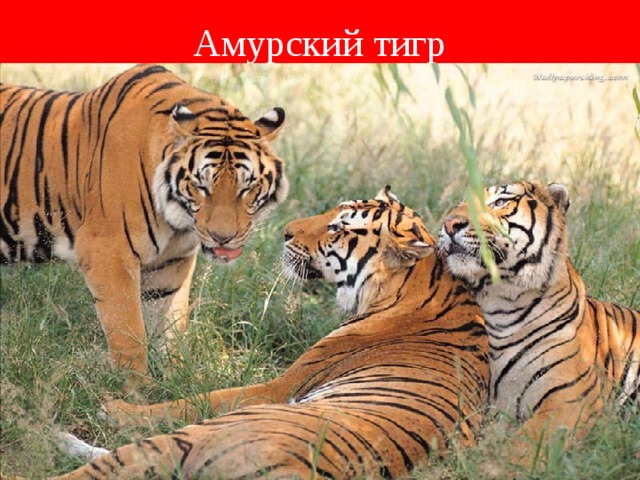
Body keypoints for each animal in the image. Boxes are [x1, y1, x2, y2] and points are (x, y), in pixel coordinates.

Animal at [0, 64, 288, 386]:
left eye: (246, 187)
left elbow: (171, 324)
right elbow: (129, 331)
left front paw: (176, 380)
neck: (176, 220)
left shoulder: (171, 263)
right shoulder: (108, 253)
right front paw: (137, 388)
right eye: (202, 186)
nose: (222, 238)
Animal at [1, 187, 489, 479]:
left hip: (205, 433)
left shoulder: (276, 387)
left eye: (338, 226)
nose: (285, 231)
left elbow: (188, 399)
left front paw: (114, 407)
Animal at [438, 180, 640, 464]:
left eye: (500, 202)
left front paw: (487, 465)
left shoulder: (569, 401)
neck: (499, 306)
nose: (449, 223)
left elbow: (519, 447)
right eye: (459, 204)